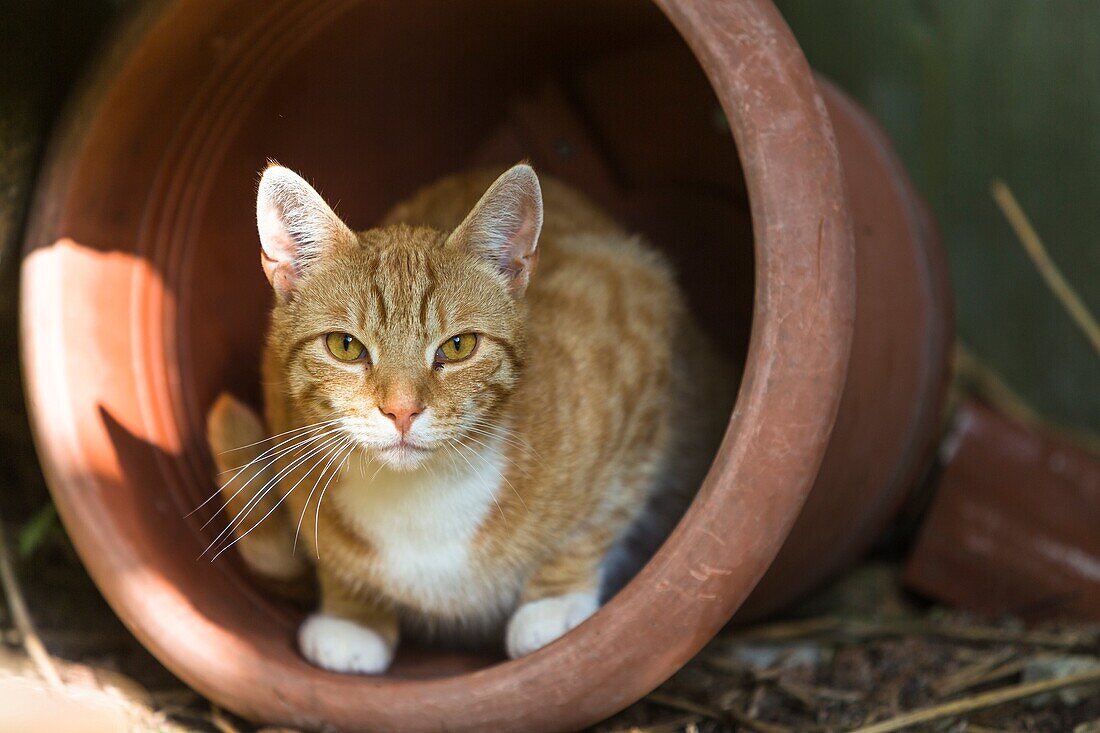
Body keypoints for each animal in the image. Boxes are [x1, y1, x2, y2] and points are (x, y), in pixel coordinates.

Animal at [205, 162, 730, 669]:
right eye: (345, 346)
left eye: (458, 346)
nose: (402, 410)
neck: (419, 498)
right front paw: (353, 616)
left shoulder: (638, 316)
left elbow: (599, 517)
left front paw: (553, 604)